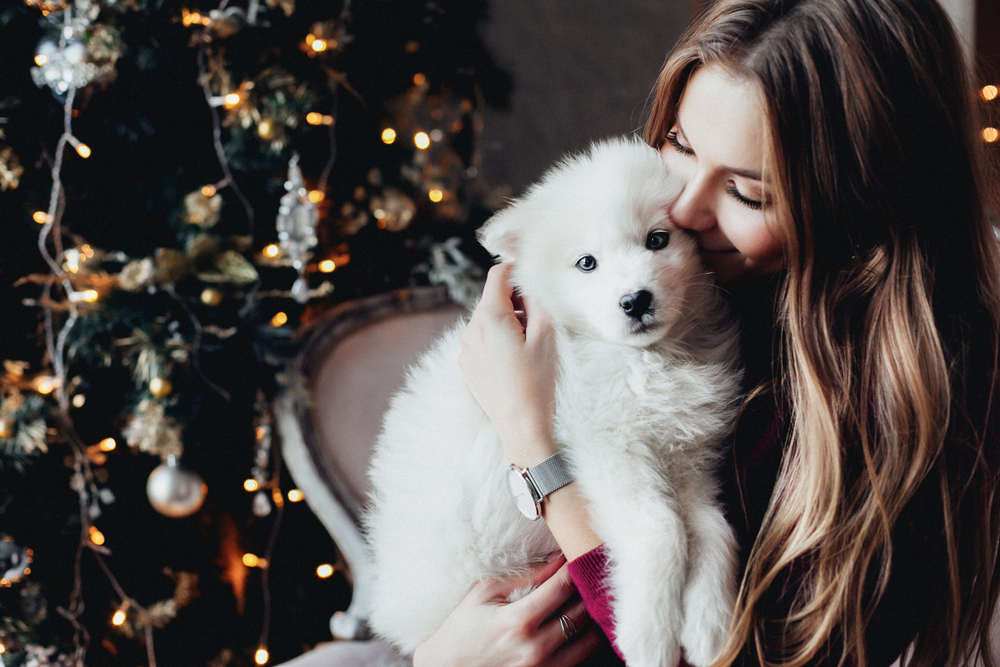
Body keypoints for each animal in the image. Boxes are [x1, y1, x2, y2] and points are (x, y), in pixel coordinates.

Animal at [364, 137, 740, 667]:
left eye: (658, 240)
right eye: (587, 263)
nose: (636, 301)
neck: (644, 359)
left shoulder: (685, 458)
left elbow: (711, 528)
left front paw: (710, 625)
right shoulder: (608, 449)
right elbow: (664, 530)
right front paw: (650, 634)